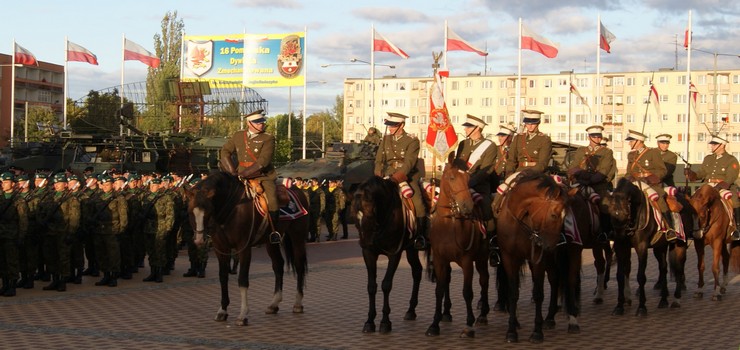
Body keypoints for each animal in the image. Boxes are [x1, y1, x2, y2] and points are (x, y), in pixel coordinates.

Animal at [189, 171, 310, 326]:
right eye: (191, 213)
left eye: (208, 212)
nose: (199, 240)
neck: (231, 208)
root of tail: (297, 190)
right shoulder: (220, 248)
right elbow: (223, 277)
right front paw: (222, 310)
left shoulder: (244, 247)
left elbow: (242, 280)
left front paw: (243, 314)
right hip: (270, 242)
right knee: (278, 266)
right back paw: (274, 303)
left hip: (297, 236)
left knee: (299, 266)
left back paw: (298, 303)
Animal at [352, 175, 422, 334]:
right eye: (355, 217)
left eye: (370, 213)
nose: (365, 242)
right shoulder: (369, 253)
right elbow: (371, 286)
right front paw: (370, 321)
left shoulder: (394, 253)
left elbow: (386, 285)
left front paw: (385, 322)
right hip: (411, 249)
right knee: (417, 271)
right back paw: (411, 310)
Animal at [422, 157, 492, 338]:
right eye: (452, 178)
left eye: (468, 178)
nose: (467, 206)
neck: (450, 223)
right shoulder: (439, 260)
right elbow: (439, 289)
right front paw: (434, 324)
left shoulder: (467, 261)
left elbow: (467, 292)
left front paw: (468, 325)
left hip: (482, 258)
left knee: (484, 280)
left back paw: (483, 314)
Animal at [494, 171, 568, 344]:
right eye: (554, 215)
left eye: (565, 217)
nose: (552, 246)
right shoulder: (509, 257)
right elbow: (513, 292)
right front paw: (511, 331)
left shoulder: (538, 258)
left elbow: (538, 293)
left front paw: (537, 332)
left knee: (554, 280)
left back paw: (550, 318)